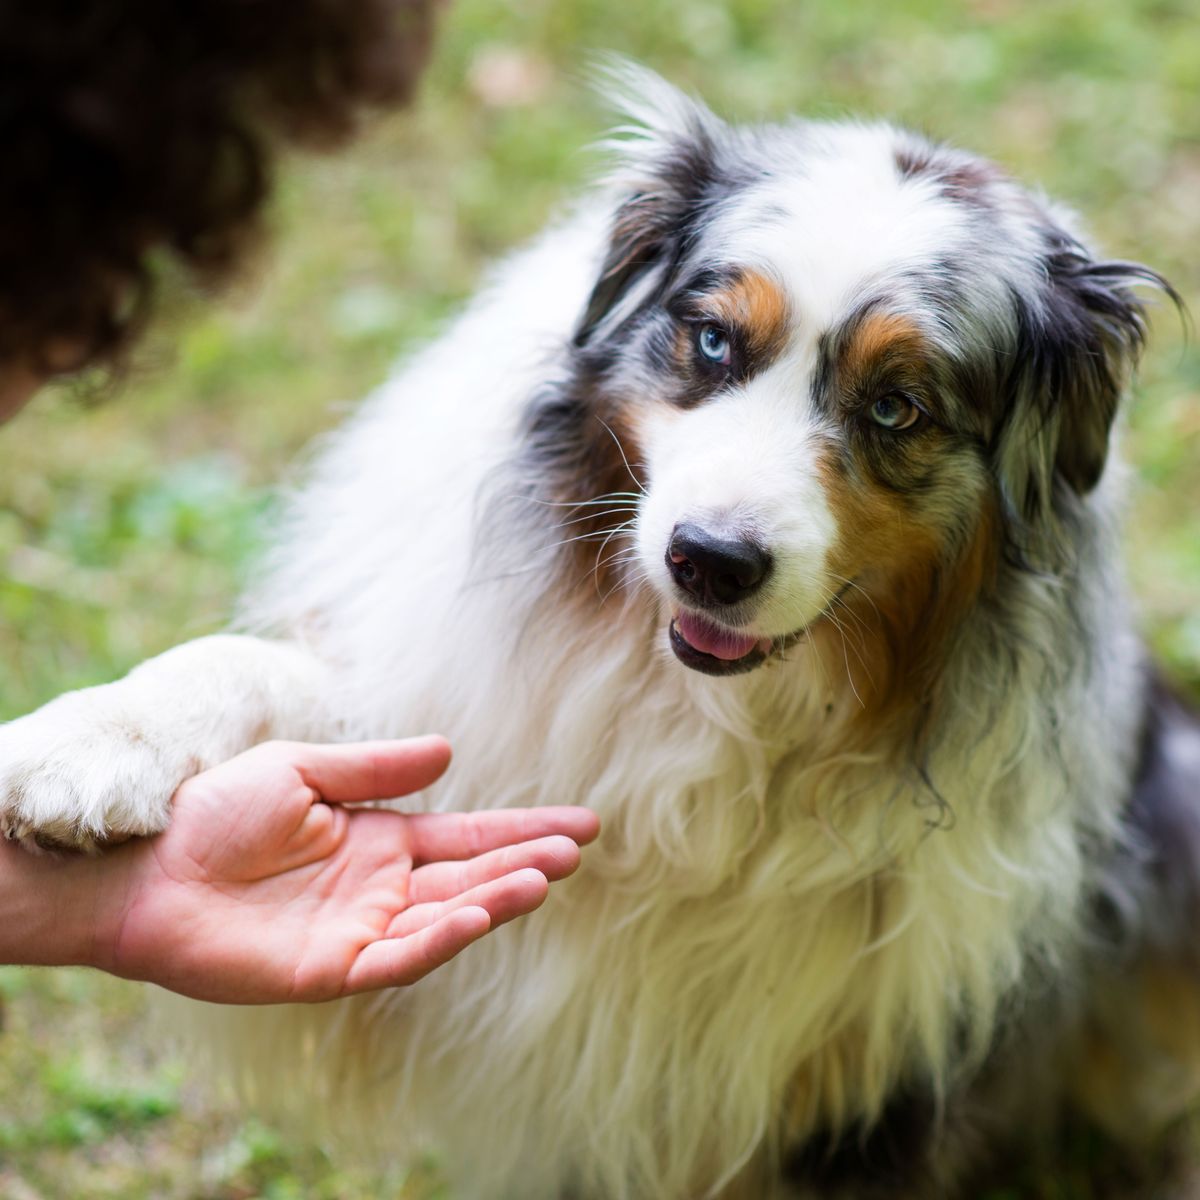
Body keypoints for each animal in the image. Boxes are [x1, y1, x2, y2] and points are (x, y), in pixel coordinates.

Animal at [2, 68, 1200, 1200]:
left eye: (897, 406)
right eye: (712, 341)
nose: (708, 560)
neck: (705, 707)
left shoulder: (868, 1094)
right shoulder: (470, 715)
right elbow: (252, 671)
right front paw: (86, 746)